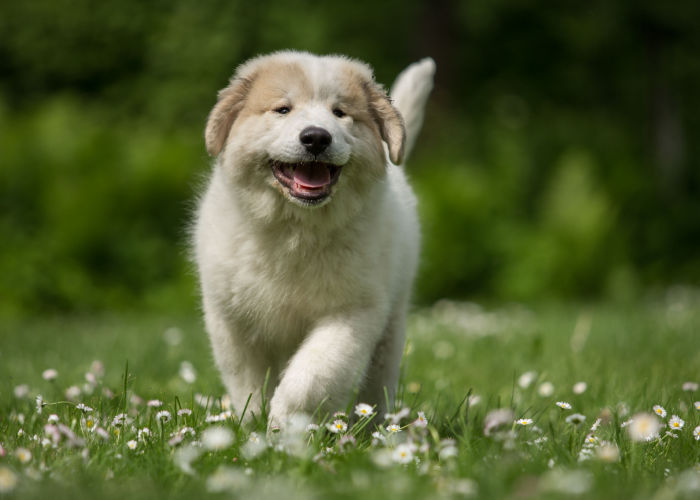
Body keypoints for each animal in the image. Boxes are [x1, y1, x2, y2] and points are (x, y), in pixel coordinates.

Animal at [191, 51, 432, 426]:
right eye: (283, 109)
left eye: (340, 113)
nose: (317, 138)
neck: (297, 229)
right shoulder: (230, 317)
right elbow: (246, 379)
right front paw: (252, 423)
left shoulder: (352, 312)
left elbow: (312, 373)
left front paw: (285, 420)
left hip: (392, 325)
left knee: (378, 380)